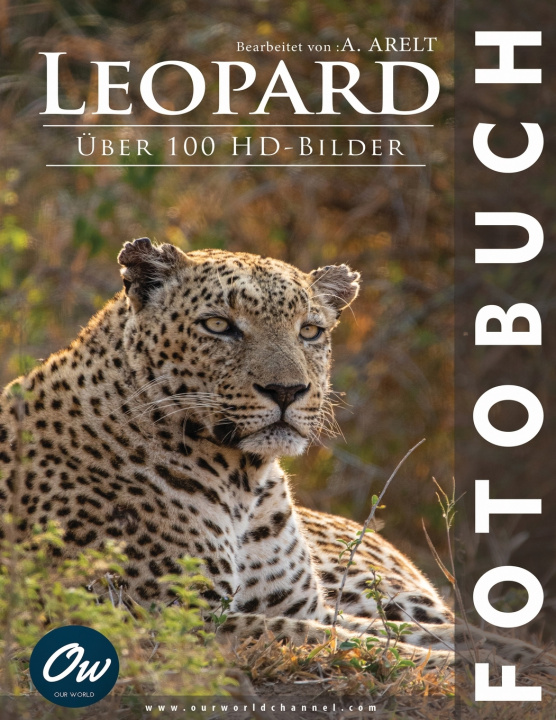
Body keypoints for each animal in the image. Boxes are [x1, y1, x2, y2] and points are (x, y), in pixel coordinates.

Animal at [0, 238, 551, 674]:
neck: (243, 481)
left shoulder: (304, 604)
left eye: (309, 331)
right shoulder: (167, 619)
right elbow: (337, 640)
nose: (287, 390)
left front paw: (520, 660)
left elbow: (421, 633)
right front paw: (457, 666)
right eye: (218, 325)